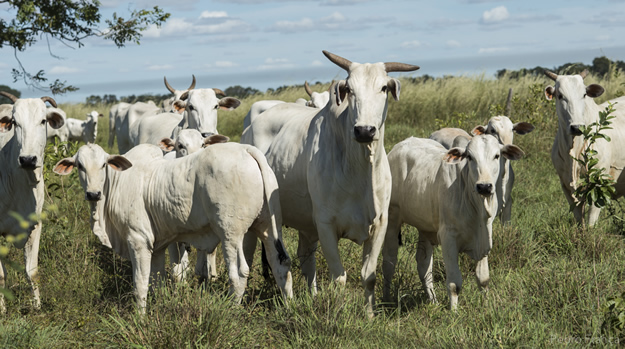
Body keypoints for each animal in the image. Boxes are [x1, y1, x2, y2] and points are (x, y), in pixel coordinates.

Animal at [0, 91, 65, 312]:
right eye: (14, 122)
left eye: (43, 120)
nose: (28, 159)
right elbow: (1, 276)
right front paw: (2, 309)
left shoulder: (35, 225)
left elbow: (32, 271)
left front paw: (37, 306)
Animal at [52, 143, 292, 312]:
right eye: (80, 166)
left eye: (103, 165)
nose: (93, 194)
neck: (117, 184)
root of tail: (246, 149)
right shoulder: (157, 246)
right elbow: (156, 281)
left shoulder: (138, 240)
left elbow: (140, 283)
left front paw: (140, 318)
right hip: (268, 227)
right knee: (280, 264)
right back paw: (289, 307)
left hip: (230, 233)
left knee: (239, 272)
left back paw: (232, 311)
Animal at [244, 51, 420, 316]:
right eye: (350, 89)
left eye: (383, 88)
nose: (364, 131)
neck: (360, 171)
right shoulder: (326, 224)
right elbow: (339, 278)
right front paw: (339, 311)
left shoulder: (380, 223)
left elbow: (369, 276)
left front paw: (369, 315)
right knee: (249, 252)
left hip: (306, 222)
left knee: (306, 259)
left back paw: (313, 295)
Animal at [382, 135, 524, 308]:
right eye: (470, 157)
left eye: (497, 156)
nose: (484, 186)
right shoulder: (448, 237)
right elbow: (454, 283)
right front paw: (454, 311)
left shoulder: (485, 236)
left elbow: (483, 279)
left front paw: (486, 306)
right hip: (392, 218)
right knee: (389, 262)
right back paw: (387, 300)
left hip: (425, 227)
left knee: (423, 264)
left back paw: (433, 301)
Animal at [540, 69, 624, 224]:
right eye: (560, 96)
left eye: (584, 94)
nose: (577, 127)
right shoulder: (565, 185)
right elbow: (579, 216)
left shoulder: (598, 183)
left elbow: (591, 219)